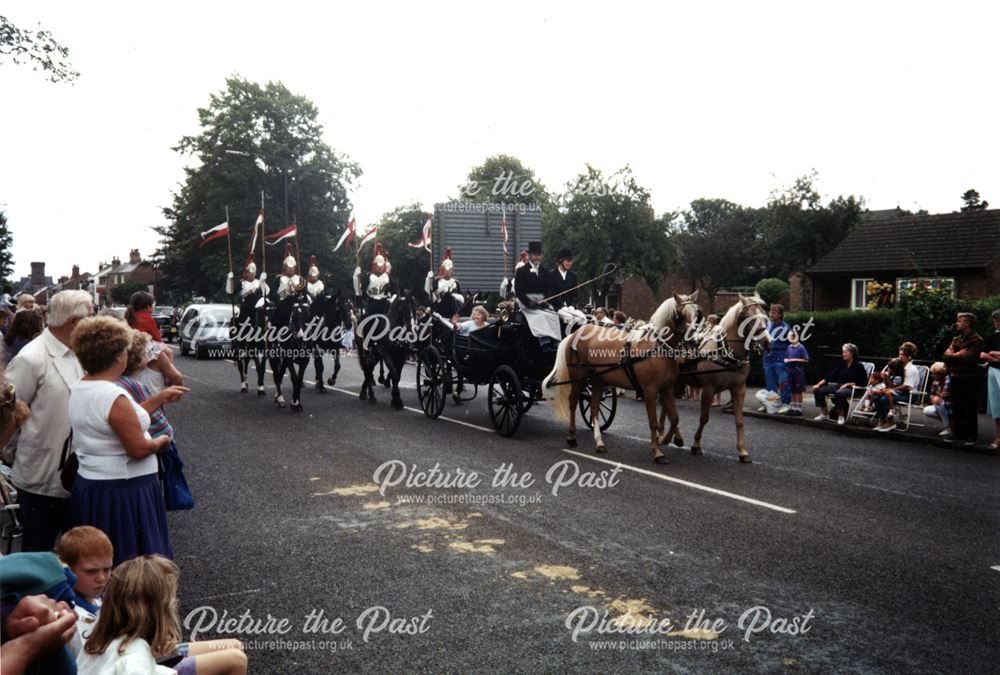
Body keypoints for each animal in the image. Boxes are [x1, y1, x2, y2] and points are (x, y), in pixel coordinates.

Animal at [544, 296, 700, 464]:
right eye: (679, 315)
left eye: (697, 313)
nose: (695, 341)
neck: (656, 348)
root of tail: (575, 333)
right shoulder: (649, 391)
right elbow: (653, 422)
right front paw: (657, 451)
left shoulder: (667, 389)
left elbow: (675, 418)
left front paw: (668, 439)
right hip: (578, 378)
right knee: (573, 403)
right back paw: (572, 437)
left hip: (597, 380)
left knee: (594, 406)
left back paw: (599, 442)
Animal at [660, 294, 768, 462]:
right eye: (749, 317)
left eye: (764, 314)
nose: (767, 342)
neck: (726, 352)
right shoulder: (709, 389)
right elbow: (704, 418)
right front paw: (696, 445)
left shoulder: (739, 388)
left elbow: (739, 421)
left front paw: (743, 451)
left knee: (666, 407)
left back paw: (668, 435)